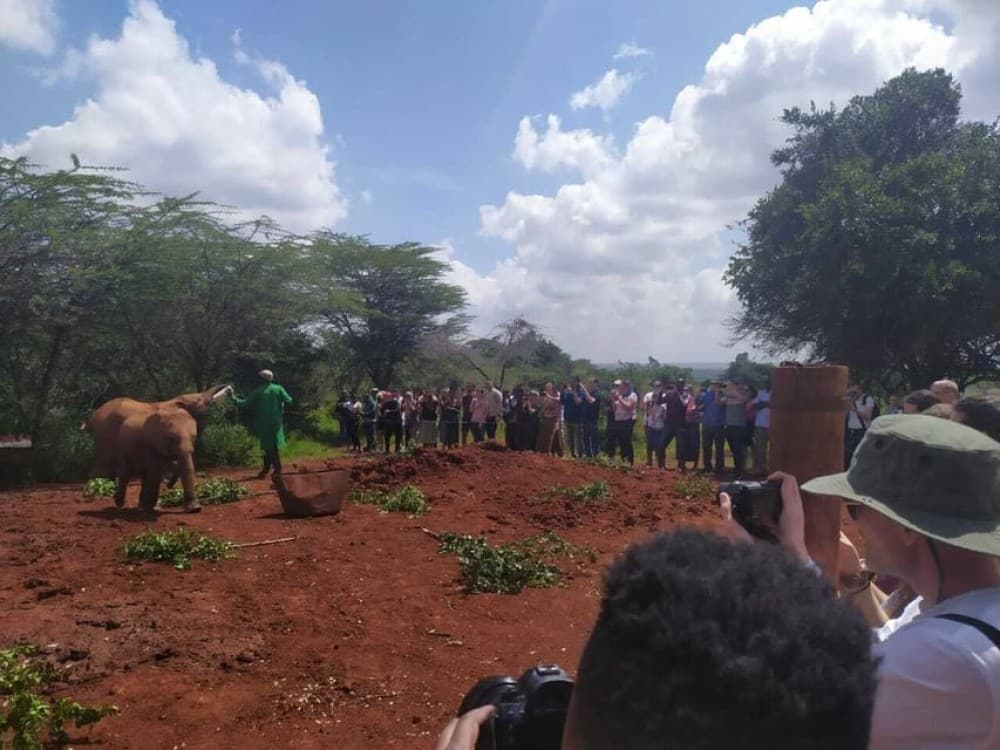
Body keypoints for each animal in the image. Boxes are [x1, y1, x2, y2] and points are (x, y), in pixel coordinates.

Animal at [82, 385, 231, 512]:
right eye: (203, 401)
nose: (229, 388)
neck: (175, 400)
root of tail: (92, 418)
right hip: (105, 434)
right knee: (104, 465)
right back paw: (94, 491)